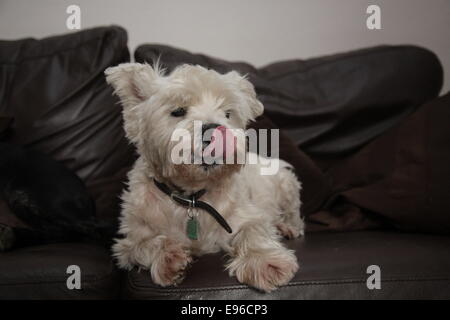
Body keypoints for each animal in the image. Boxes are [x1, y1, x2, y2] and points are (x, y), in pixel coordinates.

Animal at [103, 63, 304, 292]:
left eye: (227, 113)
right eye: (178, 111)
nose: (215, 130)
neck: (192, 197)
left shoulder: (247, 215)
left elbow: (254, 230)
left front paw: (264, 261)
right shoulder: (127, 244)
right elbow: (144, 245)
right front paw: (168, 257)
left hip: (287, 184)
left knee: (294, 214)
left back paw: (287, 226)